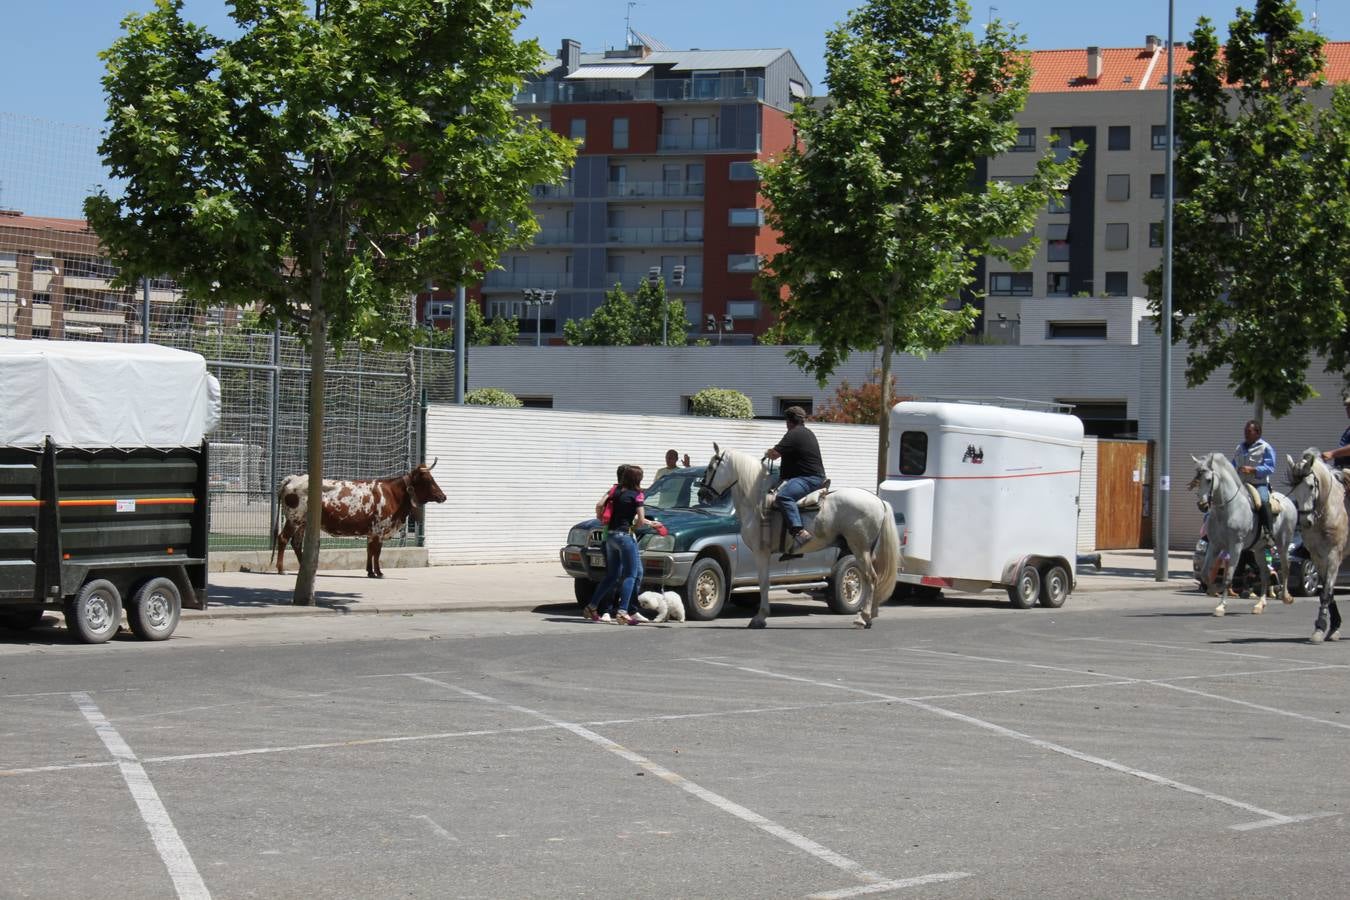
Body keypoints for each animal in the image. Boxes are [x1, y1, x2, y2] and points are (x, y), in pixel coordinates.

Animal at [274, 461, 448, 580]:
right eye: (428, 480)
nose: (443, 496)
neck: (393, 494)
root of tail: (293, 478)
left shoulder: (372, 532)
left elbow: (369, 551)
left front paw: (370, 572)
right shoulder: (379, 529)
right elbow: (377, 552)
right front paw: (379, 572)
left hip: (302, 522)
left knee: (296, 543)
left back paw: (305, 568)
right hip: (294, 519)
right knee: (283, 538)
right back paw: (281, 569)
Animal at [702, 445, 901, 631]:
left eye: (711, 467)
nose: (702, 494)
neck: (757, 503)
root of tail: (879, 502)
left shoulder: (761, 553)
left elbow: (764, 583)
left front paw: (760, 618)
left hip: (860, 549)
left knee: (870, 578)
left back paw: (863, 617)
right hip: (868, 551)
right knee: (875, 578)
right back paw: (871, 615)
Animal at [1193, 453, 1296, 615]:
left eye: (1209, 479)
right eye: (1197, 478)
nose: (1201, 505)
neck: (1227, 509)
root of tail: (1289, 501)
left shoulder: (1236, 546)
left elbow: (1228, 576)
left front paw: (1221, 606)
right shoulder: (1215, 545)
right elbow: (1205, 573)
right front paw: (1213, 589)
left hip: (1283, 543)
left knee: (1285, 568)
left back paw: (1286, 597)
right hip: (1259, 549)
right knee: (1265, 573)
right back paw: (1260, 605)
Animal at [1279, 450, 1344, 639]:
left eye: (1310, 486)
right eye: (1294, 488)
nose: (1305, 522)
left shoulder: (1334, 555)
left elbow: (1327, 593)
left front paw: (1321, 627)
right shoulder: (1318, 556)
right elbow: (1327, 593)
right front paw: (1331, 627)